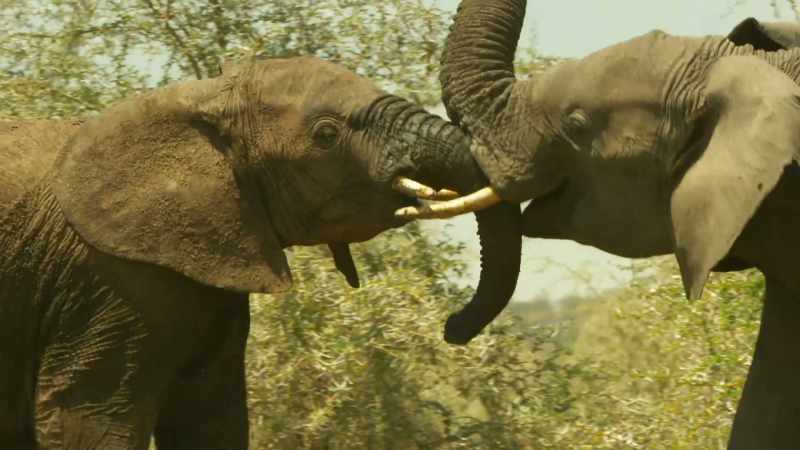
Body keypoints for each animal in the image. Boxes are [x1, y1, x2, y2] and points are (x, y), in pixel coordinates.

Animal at [0, 55, 522, 449]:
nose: (453, 328)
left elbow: (210, 417)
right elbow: (91, 420)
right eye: (327, 135)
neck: (206, 98)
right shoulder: (111, 280)